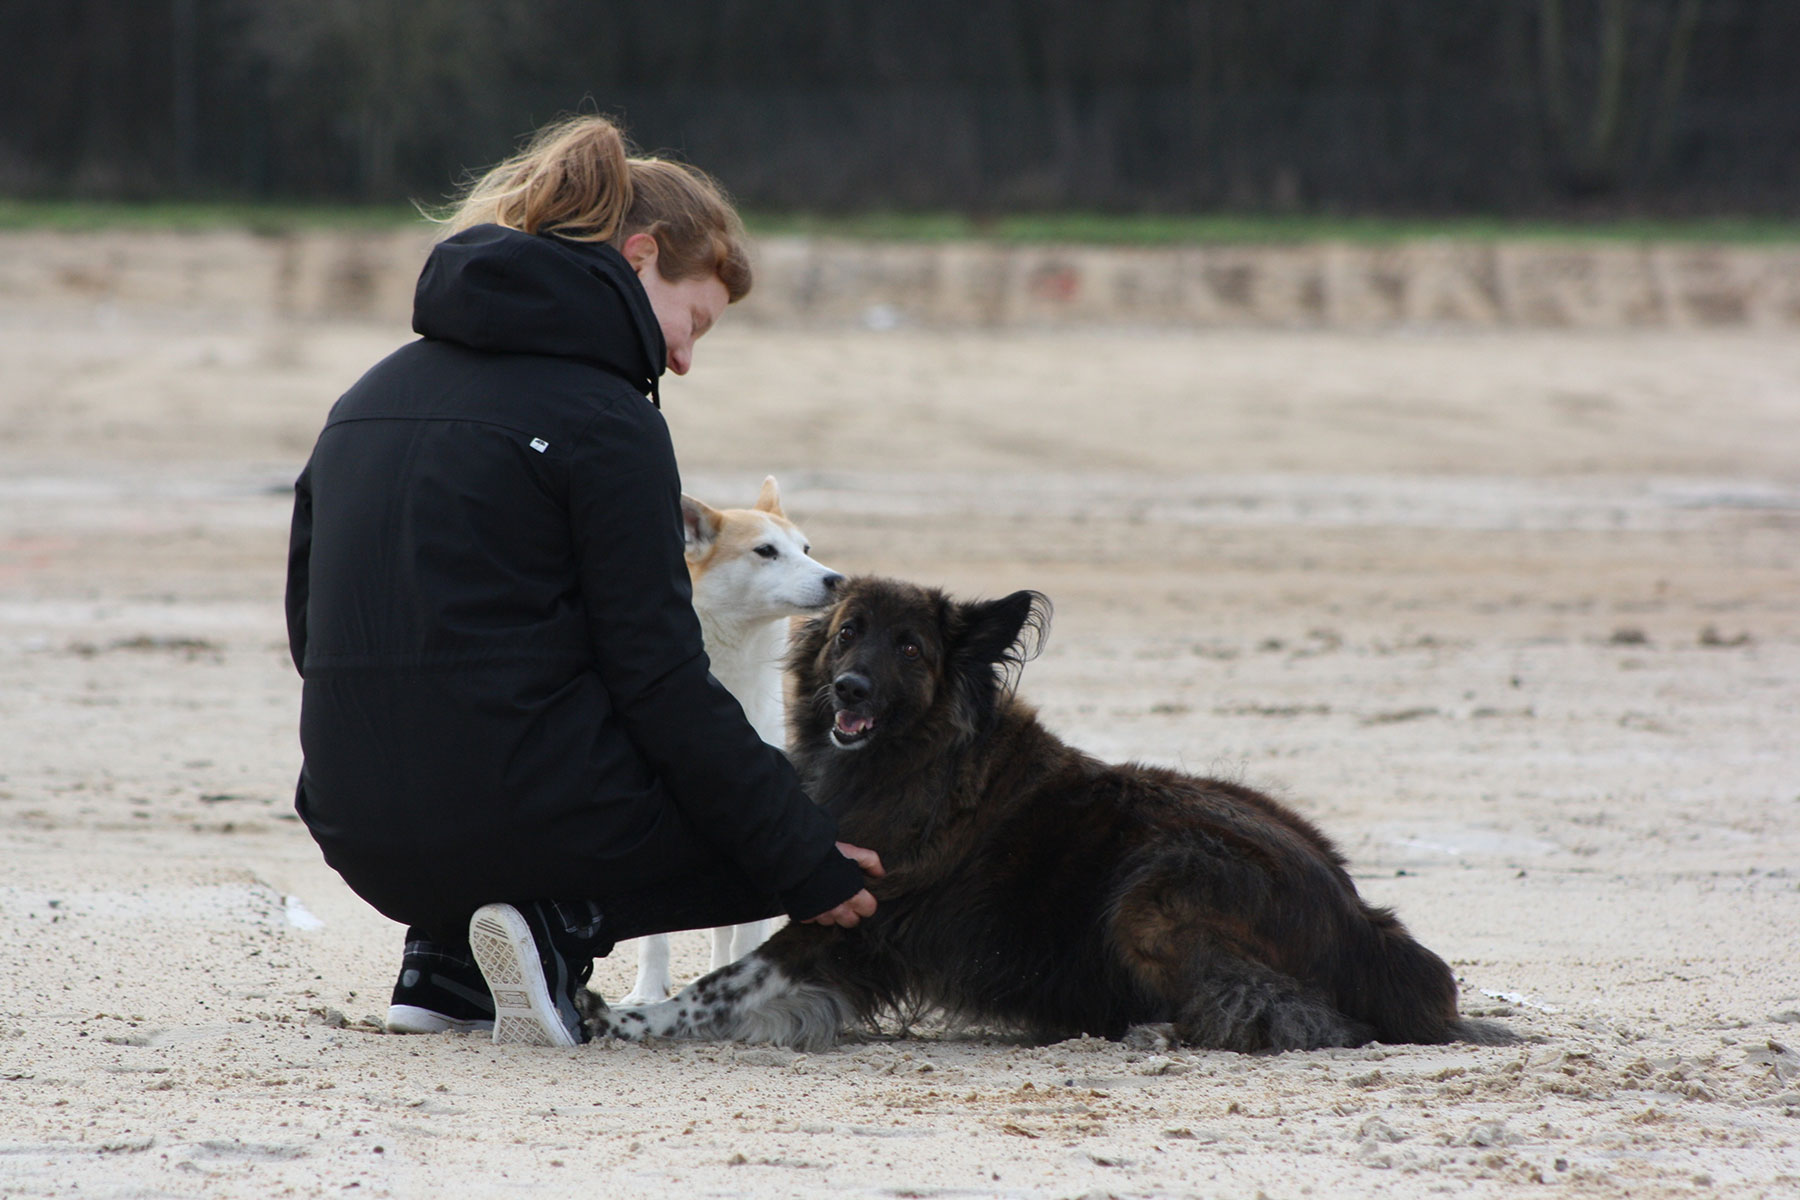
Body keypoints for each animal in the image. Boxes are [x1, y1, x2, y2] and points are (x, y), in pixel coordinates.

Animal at [597, 575, 1468, 1050]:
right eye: (848, 635)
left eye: (910, 649)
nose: (849, 689)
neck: (918, 756)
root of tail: (1363, 916)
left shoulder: (849, 914)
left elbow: (726, 983)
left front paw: (630, 1021)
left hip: (1155, 887)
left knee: (1291, 1014)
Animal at [619, 474, 842, 1007]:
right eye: (766, 551)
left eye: (806, 548)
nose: (835, 579)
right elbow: (653, 939)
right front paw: (646, 994)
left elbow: (745, 936)